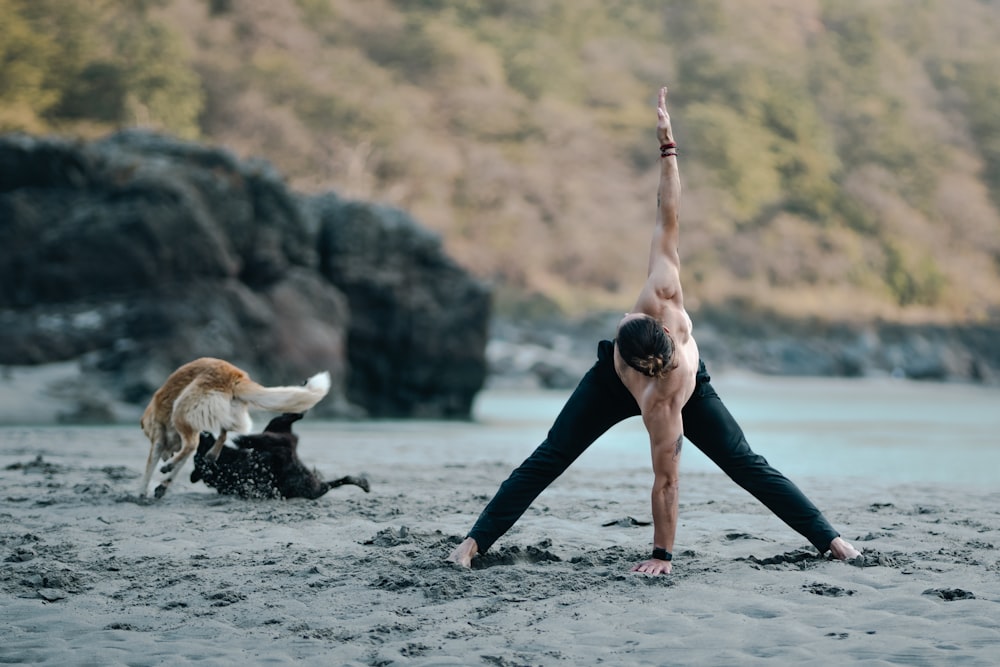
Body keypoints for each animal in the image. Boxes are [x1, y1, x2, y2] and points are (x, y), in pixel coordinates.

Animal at [139, 358, 332, 498]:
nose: (168, 457)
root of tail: (236, 376)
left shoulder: (159, 440)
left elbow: (149, 469)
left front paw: (142, 493)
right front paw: (162, 486)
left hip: (181, 410)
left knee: (193, 444)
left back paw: (172, 465)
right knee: (223, 434)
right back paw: (211, 454)